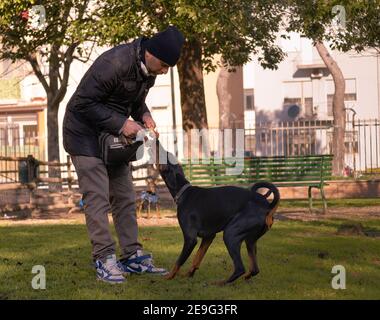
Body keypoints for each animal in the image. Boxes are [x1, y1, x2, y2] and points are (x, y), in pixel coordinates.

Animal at [156, 144, 280, 284]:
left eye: (165, 156)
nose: (157, 143)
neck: (183, 192)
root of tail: (267, 206)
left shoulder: (190, 239)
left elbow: (179, 261)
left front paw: (169, 276)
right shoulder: (209, 237)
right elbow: (197, 258)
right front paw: (189, 274)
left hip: (230, 235)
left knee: (240, 268)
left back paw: (221, 283)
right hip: (250, 240)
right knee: (254, 269)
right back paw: (245, 278)